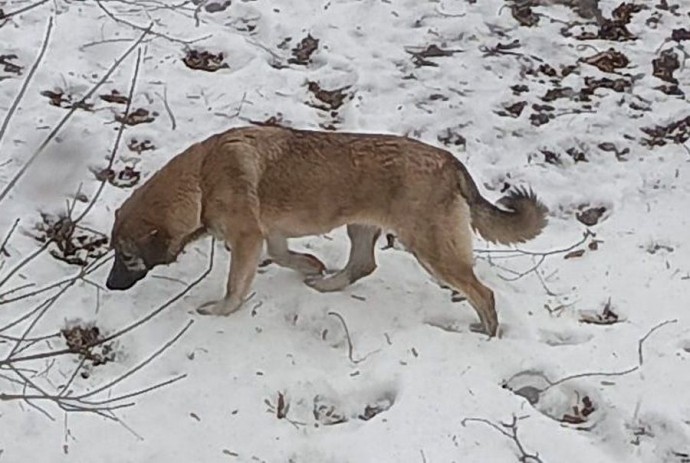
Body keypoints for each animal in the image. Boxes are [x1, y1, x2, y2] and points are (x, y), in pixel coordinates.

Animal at [106, 126, 548, 338]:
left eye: (126, 256)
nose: (109, 287)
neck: (201, 178)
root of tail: (449, 161)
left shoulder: (247, 239)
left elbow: (234, 289)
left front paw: (219, 311)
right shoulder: (269, 233)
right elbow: (284, 256)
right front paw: (310, 265)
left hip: (430, 249)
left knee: (483, 294)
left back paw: (487, 336)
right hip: (361, 227)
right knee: (364, 265)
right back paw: (326, 284)